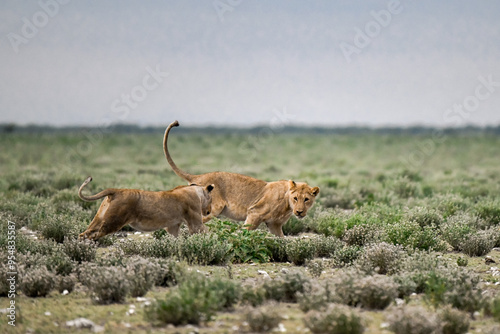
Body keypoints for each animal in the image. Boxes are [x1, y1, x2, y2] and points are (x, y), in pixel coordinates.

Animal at [77, 175, 214, 240]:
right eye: (211, 199)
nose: (208, 212)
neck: (197, 191)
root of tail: (116, 190)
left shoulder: (173, 226)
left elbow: (175, 237)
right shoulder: (195, 222)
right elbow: (207, 232)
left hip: (99, 218)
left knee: (83, 233)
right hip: (113, 222)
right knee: (93, 235)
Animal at [163, 120, 320, 237]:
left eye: (306, 199)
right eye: (296, 198)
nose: (299, 212)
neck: (287, 204)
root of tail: (199, 176)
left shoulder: (274, 224)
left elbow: (282, 239)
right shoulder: (254, 212)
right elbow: (246, 232)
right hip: (213, 209)